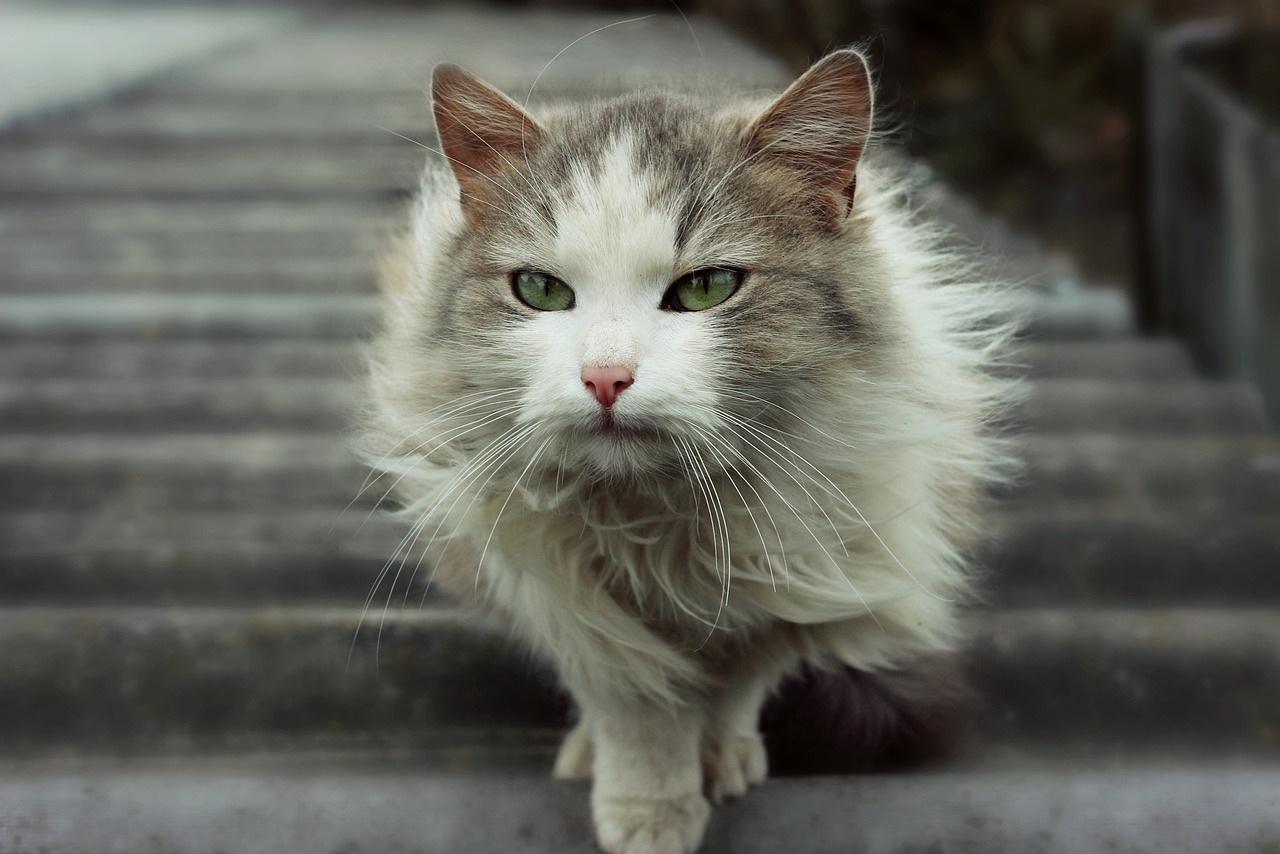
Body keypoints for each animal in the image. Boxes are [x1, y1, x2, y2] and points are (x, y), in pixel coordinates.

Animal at [355, 46, 1013, 854]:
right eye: (539, 289)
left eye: (707, 288)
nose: (605, 378)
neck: (662, 520)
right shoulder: (574, 604)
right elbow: (638, 713)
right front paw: (649, 813)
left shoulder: (788, 584)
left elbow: (734, 687)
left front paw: (718, 758)